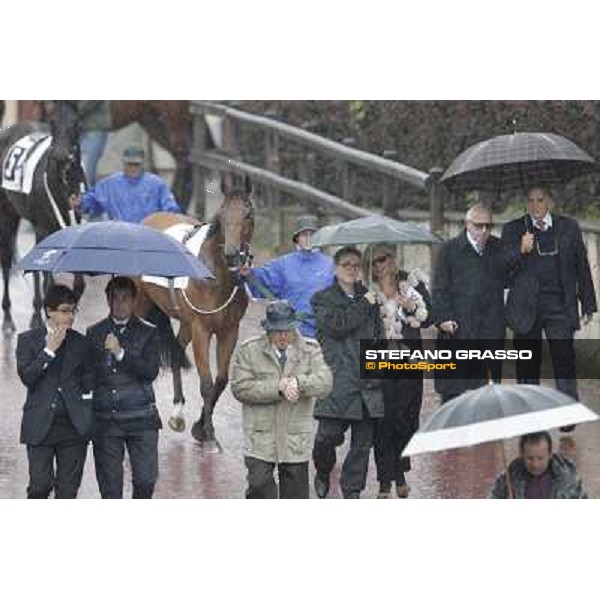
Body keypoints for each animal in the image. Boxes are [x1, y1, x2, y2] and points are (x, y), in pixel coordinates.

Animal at [0, 99, 86, 332]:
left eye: (76, 123)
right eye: (52, 121)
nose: (62, 156)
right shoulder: (43, 228)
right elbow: (46, 276)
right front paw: (40, 317)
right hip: (8, 215)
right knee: (6, 261)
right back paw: (10, 318)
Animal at [135, 176, 253, 448]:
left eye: (248, 214)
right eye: (223, 212)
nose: (232, 255)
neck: (216, 277)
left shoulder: (229, 330)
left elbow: (221, 380)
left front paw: (200, 428)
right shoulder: (202, 329)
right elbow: (207, 383)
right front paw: (209, 434)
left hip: (186, 321)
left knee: (177, 351)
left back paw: (178, 413)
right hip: (140, 304)